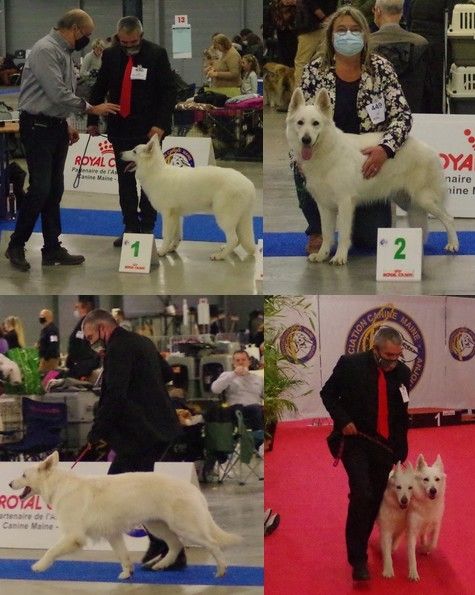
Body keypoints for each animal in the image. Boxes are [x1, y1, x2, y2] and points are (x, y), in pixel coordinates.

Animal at [8, 454, 242, 580]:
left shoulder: (73, 536)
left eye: (23, 475)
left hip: (186, 527)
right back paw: (161, 564)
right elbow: (123, 556)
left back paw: (221, 570)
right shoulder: (113, 534)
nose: (9, 483)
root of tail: (192, 488)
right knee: (176, 545)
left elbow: (51, 550)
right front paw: (128, 573)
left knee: (211, 544)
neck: (58, 485)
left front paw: (39, 566)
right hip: (157, 526)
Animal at [121, 135, 258, 260]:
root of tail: (249, 185)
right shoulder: (176, 216)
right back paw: (225, 249)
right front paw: (172, 248)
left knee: (234, 239)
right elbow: (177, 235)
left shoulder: (167, 215)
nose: (120, 153)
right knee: (239, 238)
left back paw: (220, 256)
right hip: (238, 219)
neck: (156, 172)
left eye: (134, 151)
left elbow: (167, 235)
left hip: (224, 217)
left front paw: (162, 251)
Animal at [286, 87, 462, 264]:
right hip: (408, 201)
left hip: (424, 198)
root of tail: (430, 149)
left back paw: (453, 244)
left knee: (449, 218)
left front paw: (340, 256)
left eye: (315, 123)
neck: (327, 152)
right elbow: (327, 234)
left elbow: (343, 234)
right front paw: (322, 254)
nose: (306, 139)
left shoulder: (345, 202)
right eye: (300, 123)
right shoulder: (324, 205)